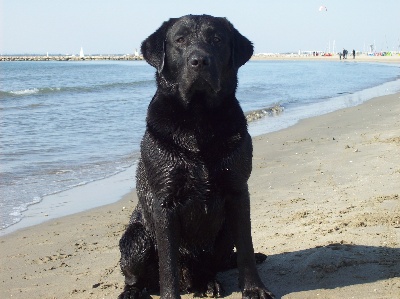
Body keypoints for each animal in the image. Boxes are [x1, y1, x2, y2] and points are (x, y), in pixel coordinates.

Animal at [119, 14, 276, 299]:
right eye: (179, 40)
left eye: (217, 39)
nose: (199, 61)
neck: (199, 120)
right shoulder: (164, 202)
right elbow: (168, 264)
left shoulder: (238, 191)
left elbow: (246, 248)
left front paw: (254, 288)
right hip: (136, 238)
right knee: (136, 276)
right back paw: (134, 291)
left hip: (223, 233)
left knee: (219, 261)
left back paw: (209, 282)